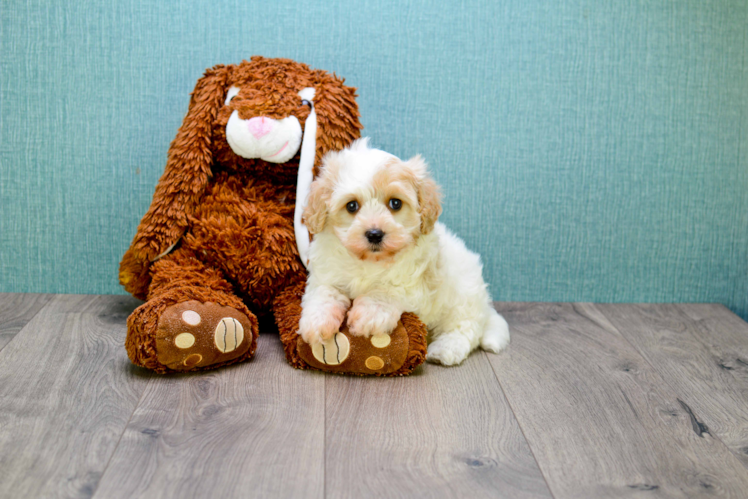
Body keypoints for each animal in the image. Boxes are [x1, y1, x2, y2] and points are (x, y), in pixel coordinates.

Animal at [296, 139, 508, 366]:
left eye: (395, 203)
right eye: (351, 206)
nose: (374, 234)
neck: (371, 261)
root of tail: (485, 307)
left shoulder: (417, 282)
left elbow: (388, 290)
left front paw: (370, 314)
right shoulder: (326, 273)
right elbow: (324, 291)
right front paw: (317, 322)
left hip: (462, 298)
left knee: (465, 328)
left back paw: (445, 349)